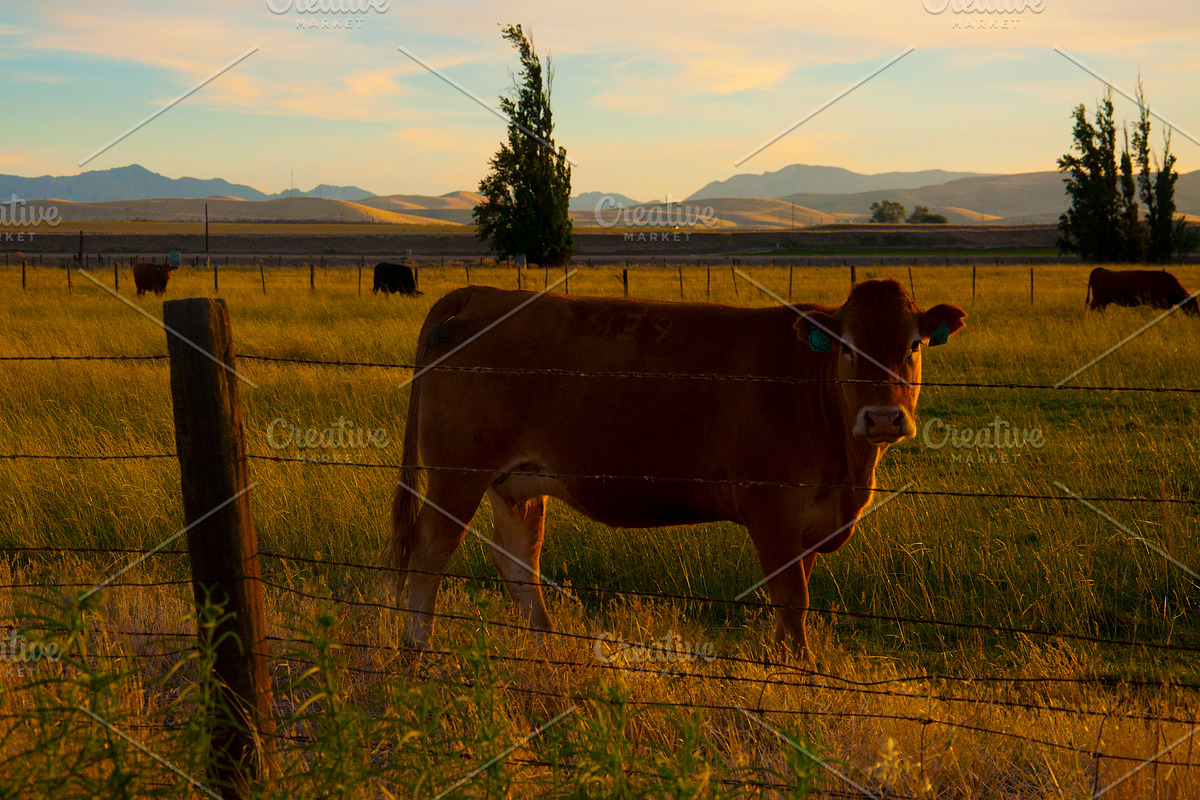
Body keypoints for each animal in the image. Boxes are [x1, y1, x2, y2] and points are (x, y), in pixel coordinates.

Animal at [386, 279, 966, 659]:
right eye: (847, 348)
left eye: (914, 345)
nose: (883, 417)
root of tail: (483, 292)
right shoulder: (772, 510)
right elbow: (791, 599)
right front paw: (796, 669)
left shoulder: (811, 521)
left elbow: (795, 598)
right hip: (456, 475)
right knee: (429, 552)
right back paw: (417, 649)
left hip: (517, 484)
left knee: (517, 560)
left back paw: (547, 645)